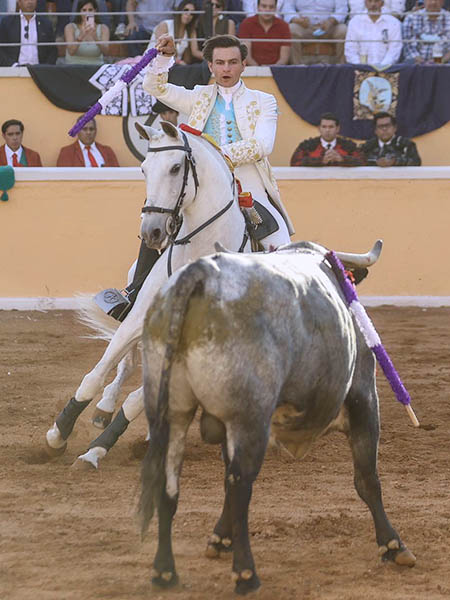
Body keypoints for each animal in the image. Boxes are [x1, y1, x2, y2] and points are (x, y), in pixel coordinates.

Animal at [139, 241, 416, 592]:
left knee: (171, 482)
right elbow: (367, 479)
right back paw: (245, 573)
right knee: (240, 484)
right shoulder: (364, 397)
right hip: (250, 418)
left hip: (172, 413)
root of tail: (202, 274)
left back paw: (164, 571)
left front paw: (219, 539)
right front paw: (393, 545)